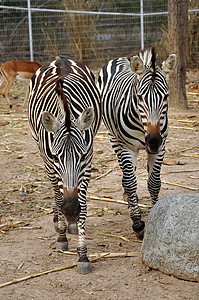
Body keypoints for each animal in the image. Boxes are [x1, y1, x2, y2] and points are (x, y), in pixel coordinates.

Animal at [28, 57, 101, 274]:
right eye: (56, 157)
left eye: (82, 155)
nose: (70, 210)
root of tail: (60, 59)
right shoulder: (49, 163)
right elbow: (58, 196)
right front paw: (61, 236)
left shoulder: (87, 164)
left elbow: (83, 205)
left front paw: (83, 255)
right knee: (56, 192)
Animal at [97, 47, 176, 239]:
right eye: (140, 97)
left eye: (166, 97)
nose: (153, 141)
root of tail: (120, 58)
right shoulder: (128, 147)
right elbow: (131, 182)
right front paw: (138, 223)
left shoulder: (161, 147)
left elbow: (154, 183)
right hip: (114, 138)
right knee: (127, 174)